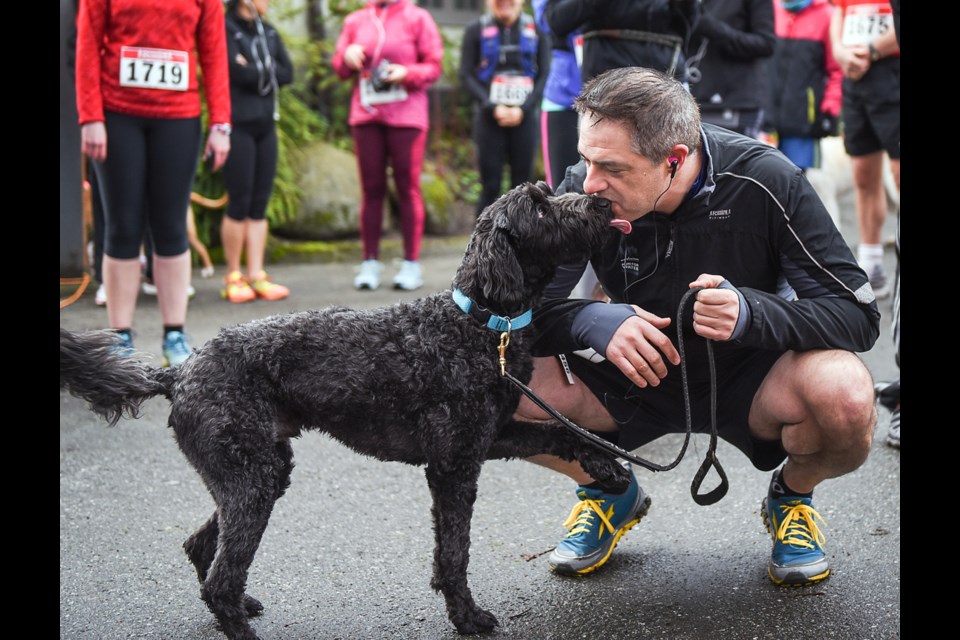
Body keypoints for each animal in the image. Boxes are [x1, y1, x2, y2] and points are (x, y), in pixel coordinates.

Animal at [60, 181, 632, 640]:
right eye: (539, 208)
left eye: (547, 193)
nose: (602, 202)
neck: (479, 322)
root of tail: (178, 372)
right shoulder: (453, 466)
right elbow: (454, 552)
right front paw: (466, 617)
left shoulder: (491, 436)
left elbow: (561, 432)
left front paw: (606, 464)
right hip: (250, 477)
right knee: (220, 575)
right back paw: (238, 624)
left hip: (256, 470)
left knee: (203, 546)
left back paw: (241, 603)